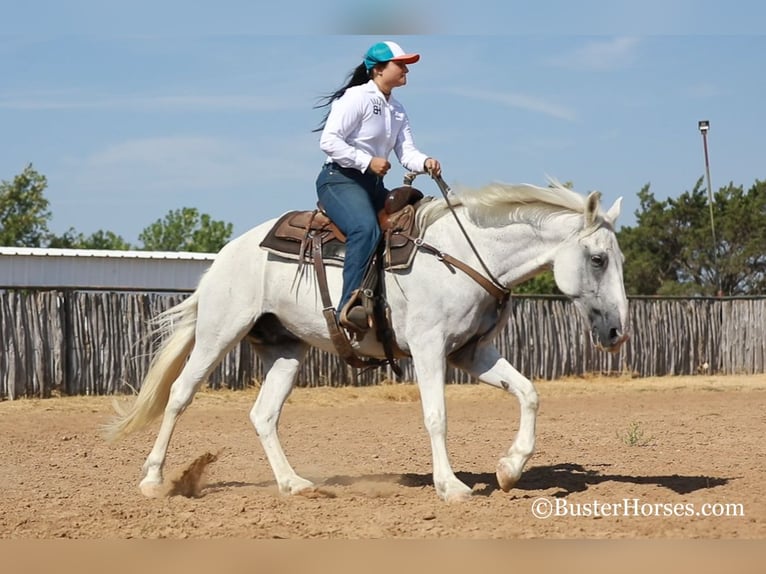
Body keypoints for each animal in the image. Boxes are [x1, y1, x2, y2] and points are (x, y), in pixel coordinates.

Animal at [109, 180, 636, 504]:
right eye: (597, 259)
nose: (616, 333)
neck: (466, 254)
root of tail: (225, 256)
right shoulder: (429, 348)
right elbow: (436, 416)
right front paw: (451, 486)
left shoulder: (472, 352)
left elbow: (528, 392)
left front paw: (509, 469)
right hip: (219, 333)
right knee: (179, 396)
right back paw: (153, 480)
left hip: (286, 350)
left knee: (263, 415)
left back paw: (294, 484)